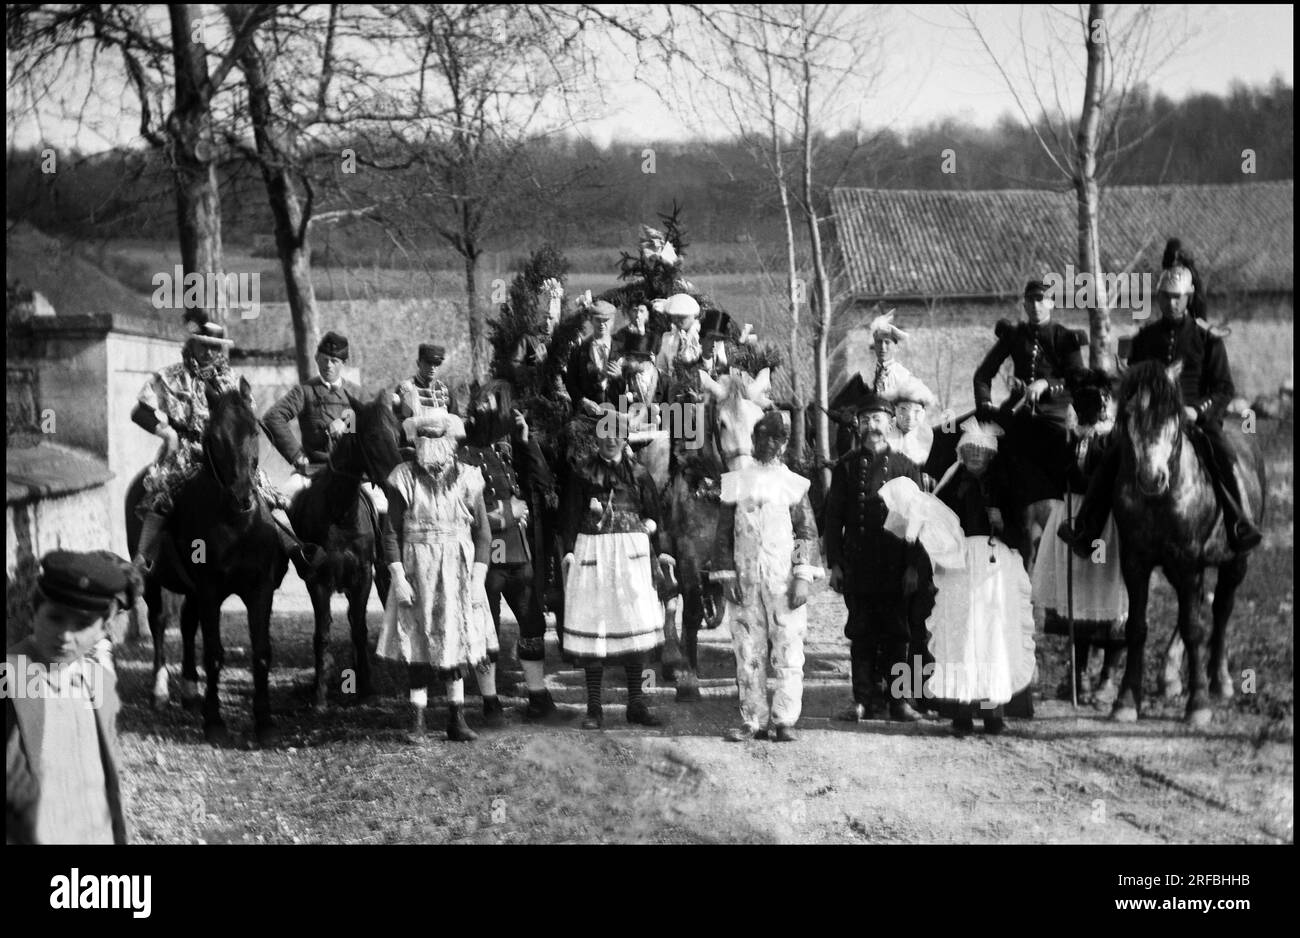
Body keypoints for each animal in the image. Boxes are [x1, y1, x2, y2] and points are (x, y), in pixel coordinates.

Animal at [124, 379, 289, 743]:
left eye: (253, 430)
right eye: (214, 436)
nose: (242, 496)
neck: (236, 524)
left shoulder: (259, 589)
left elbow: (262, 651)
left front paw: (265, 721)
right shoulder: (210, 589)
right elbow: (213, 652)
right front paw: (214, 721)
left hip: (192, 591)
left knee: (187, 623)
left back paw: (189, 689)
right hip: (154, 582)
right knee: (159, 622)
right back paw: (161, 690)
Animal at [288, 389, 400, 706]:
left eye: (398, 432)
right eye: (372, 436)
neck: (339, 511)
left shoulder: (362, 575)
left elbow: (360, 629)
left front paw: (366, 687)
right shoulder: (318, 580)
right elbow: (322, 633)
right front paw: (319, 693)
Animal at [1112, 361, 1263, 722]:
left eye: (1173, 413)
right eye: (1128, 412)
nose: (1152, 478)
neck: (1160, 501)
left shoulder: (1188, 562)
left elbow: (1195, 628)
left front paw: (1198, 705)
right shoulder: (1136, 563)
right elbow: (1137, 626)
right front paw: (1125, 701)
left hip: (1235, 562)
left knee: (1221, 609)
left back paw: (1220, 682)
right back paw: (1170, 677)